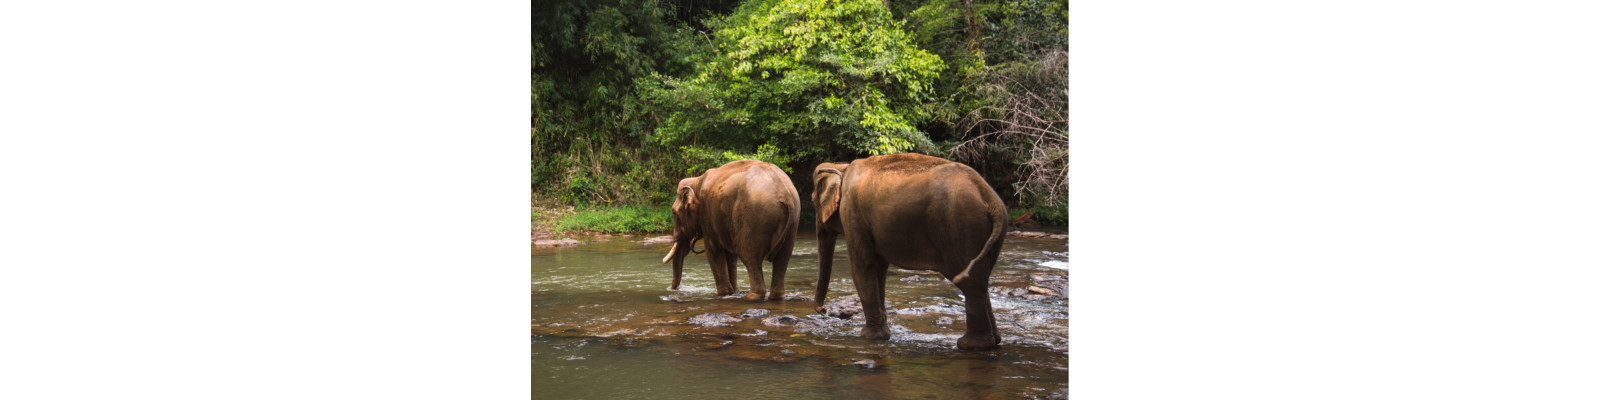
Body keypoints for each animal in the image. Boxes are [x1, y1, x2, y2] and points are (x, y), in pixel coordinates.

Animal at [656, 160, 800, 302]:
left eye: (674, 213)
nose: (677, 289)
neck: (697, 181)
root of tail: (785, 192)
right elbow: (730, 255)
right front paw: (733, 293)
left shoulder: (707, 214)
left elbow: (713, 251)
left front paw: (723, 294)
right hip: (792, 224)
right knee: (782, 260)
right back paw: (776, 298)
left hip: (753, 220)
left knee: (750, 258)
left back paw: (751, 298)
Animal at [812, 152, 1011, 350]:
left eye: (813, 200)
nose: (823, 311)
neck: (842, 167)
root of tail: (989, 196)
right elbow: (879, 268)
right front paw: (881, 335)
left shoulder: (852, 213)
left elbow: (864, 264)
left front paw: (870, 337)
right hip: (987, 235)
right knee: (982, 280)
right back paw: (993, 341)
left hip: (962, 228)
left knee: (971, 282)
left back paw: (970, 345)